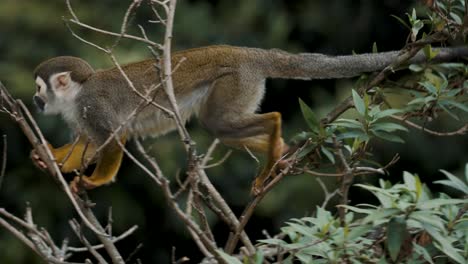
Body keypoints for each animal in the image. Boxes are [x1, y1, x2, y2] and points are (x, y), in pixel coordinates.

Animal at [32, 44, 398, 194]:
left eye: (39, 88)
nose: (35, 101)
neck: (76, 97)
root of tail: (250, 53)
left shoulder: (93, 106)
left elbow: (113, 139)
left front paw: (94, 182)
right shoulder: (80, 117)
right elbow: (87, 144)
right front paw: (49, 157)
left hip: (236, 80)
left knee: (220, 123)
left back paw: (274, 131)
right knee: (219, 128)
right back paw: (277, 151)